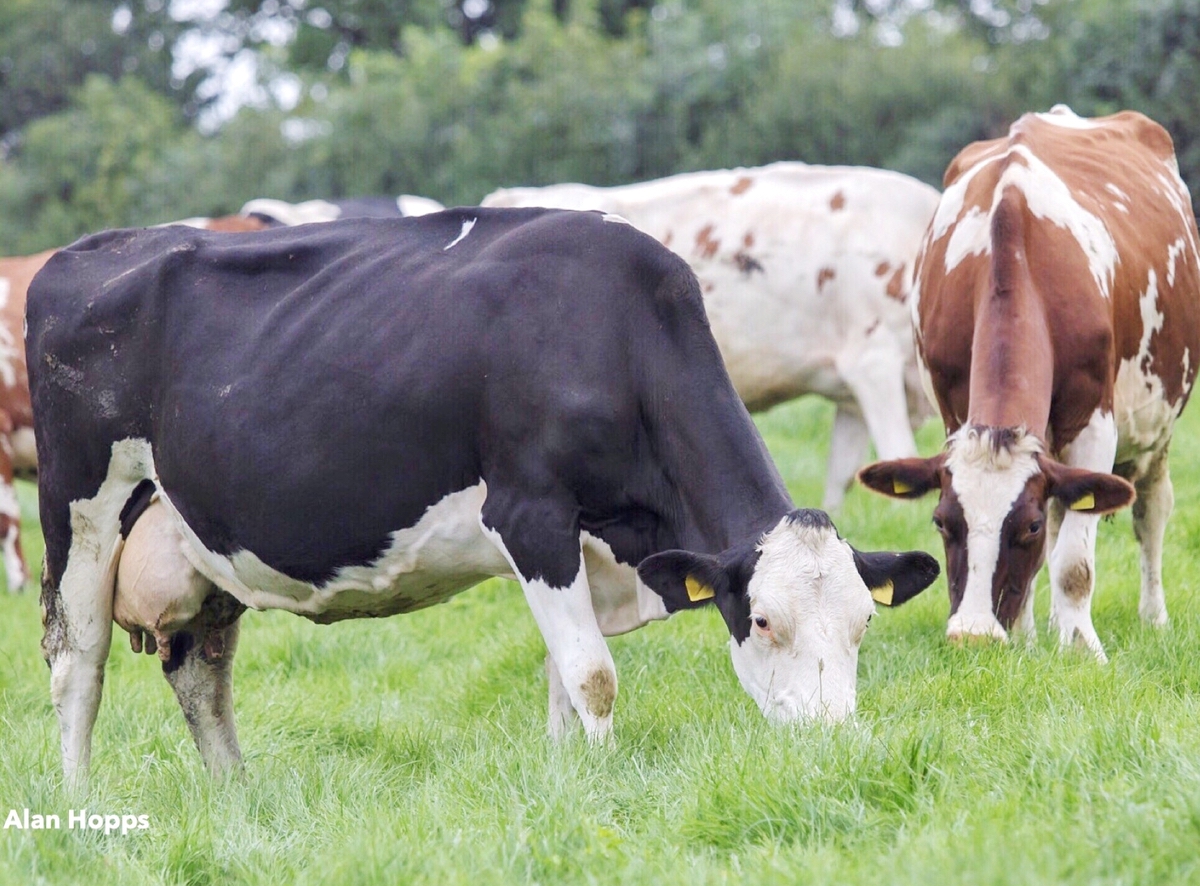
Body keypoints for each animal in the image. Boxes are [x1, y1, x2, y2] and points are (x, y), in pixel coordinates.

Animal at [28, 205, 936, 773]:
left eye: (863, 624)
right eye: (765, 621)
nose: (833, 740)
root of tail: (82, 252)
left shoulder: (579, 545)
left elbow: (564, 680)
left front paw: (570, 783)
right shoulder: (530, 512)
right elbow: (593, 674)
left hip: (200, 540)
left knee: (200, 673)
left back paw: (238, 800)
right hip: (80, 510)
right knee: (78, 664)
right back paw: (81, 807)